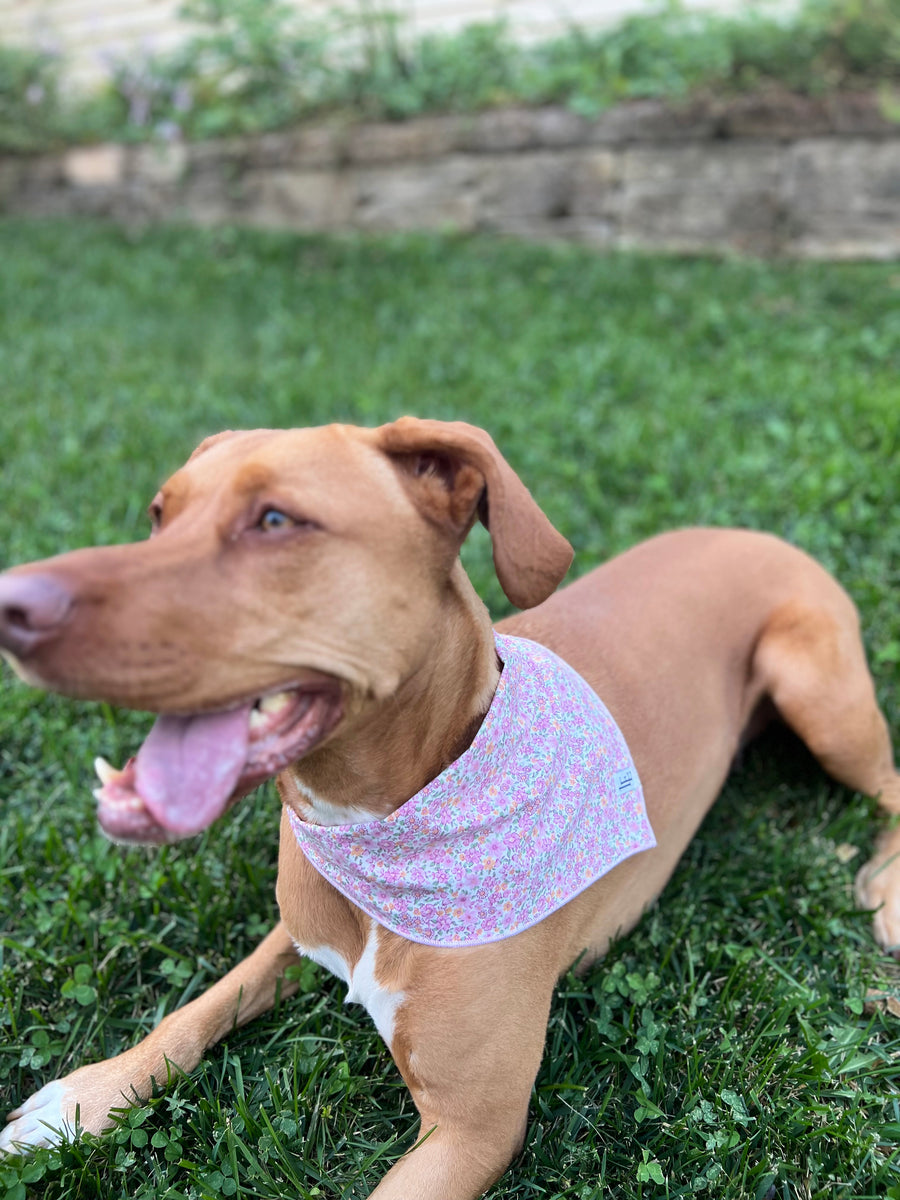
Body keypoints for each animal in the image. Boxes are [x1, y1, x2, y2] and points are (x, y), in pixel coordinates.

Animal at [1, 417, 900, 1195]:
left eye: (276, 520)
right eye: (159, 515)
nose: (14, 604)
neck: (386, 827)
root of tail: (766, 536)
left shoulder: (473, 1131)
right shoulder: (295, 932)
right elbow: (195, 1010)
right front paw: (81, 1101)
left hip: (816, 691)